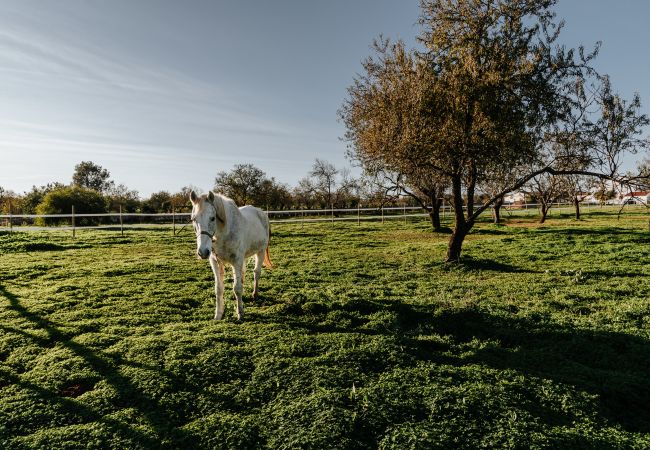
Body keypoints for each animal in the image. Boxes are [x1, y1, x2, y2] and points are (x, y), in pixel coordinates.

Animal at [187, 190, 270, 320]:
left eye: (212, 218)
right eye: (193, 219)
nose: (203, 252)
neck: (223, 234)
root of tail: (261, 212)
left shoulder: (237, 260)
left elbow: (237, 288)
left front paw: (240, 313)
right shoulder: (215, 262)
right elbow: (219, 289)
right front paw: (218, 314)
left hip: (260, 251)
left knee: (256, 272)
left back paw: (255, 294)